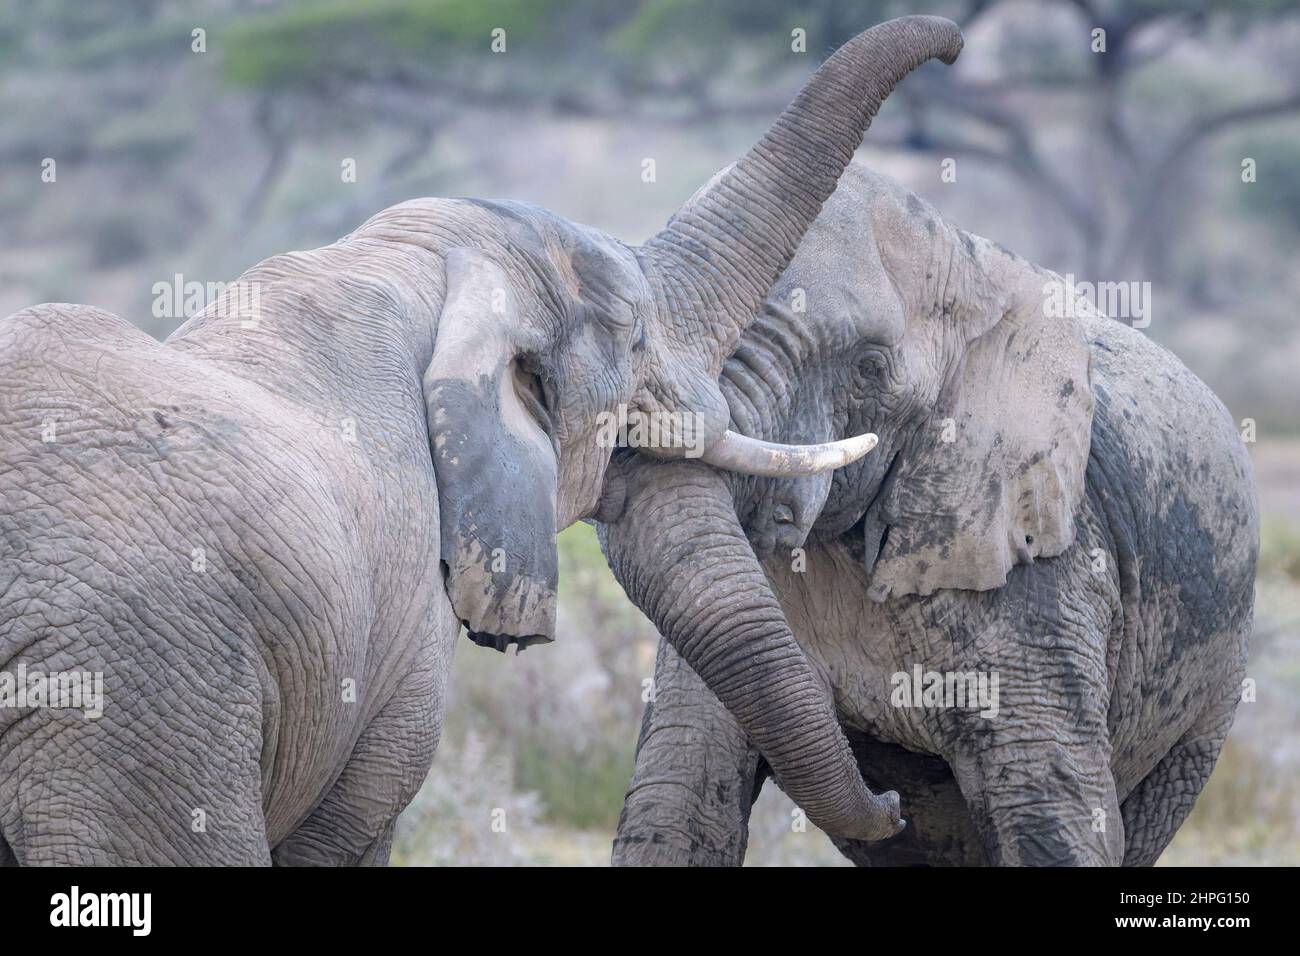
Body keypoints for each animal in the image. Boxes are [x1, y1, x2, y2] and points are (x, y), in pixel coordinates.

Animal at [600, 158, 1258, 868]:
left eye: (869, 366)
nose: (890, 804)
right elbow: (678, 803)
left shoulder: (1043, 579)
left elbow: (1051, 819)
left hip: (1216, 683)